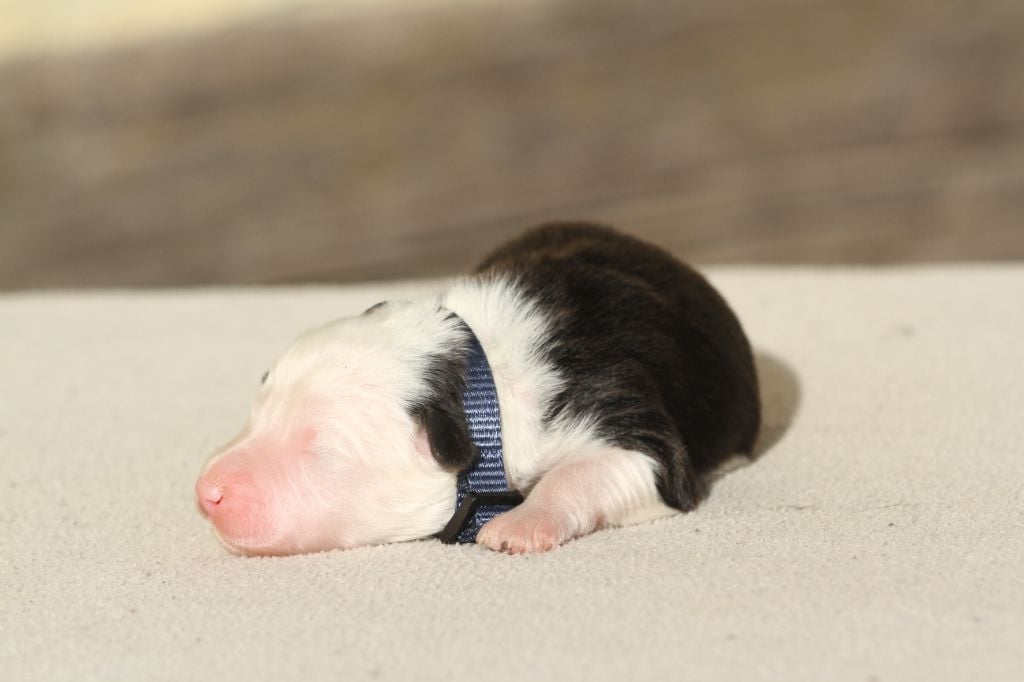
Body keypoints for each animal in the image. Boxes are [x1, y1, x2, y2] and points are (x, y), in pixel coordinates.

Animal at [193, 223, 761, 552]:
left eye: (325, 453)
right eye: (259, 408)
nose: (207, 492)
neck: (483, 380)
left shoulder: (632, 429)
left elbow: (588, 471)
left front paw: (521, 525)